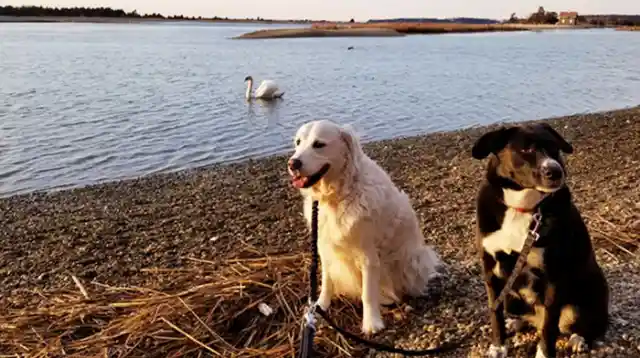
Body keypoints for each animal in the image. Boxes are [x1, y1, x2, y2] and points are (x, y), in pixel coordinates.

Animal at [288, 119, 442, 332]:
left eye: (319, 144)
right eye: (298, 142)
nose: (292, 163)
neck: (338, 196)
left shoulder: (367, 256)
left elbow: (368, 293)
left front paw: (371, 323)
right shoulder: (325, 248)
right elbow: (327, 281)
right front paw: (319, 307)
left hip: (415, 258)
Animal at [470, 123, 608, 358]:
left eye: (554, 147)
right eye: (526, 149)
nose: (556, 171)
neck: (523, 207)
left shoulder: (553, 277)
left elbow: (549, 328)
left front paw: (543, 353)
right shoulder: (490, 271)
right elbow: (495, 313)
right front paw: (498, 346)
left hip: (584, 300)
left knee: (587, 326)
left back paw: (579, 339)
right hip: (511, 298)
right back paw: (515, 323)